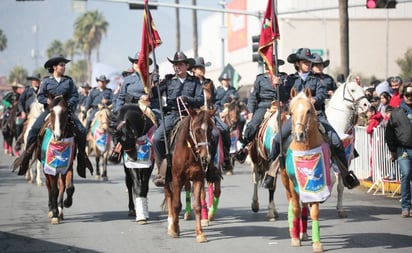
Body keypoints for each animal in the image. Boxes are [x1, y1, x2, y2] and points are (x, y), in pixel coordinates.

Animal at [163, 105, 216, 242]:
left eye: (211, 129)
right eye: (197, 130)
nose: (205, 158)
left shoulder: (198, 178)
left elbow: (197, 206)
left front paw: (200, 233)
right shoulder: (176, 178)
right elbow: (176, 204)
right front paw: (175, 229)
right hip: (167, 180)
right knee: (169, 196)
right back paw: (171, 223)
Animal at [282, 88, 336, 252]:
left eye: (308, 111)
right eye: (291, 112)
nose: (299, 135)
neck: (305, 149)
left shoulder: (318, 186)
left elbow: (314, 211)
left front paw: (317, 243)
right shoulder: (293, 182)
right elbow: (295, 208)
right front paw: (294, 239)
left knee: (304, 205)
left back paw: (303, 233)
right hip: (285, 181)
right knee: (293, 203)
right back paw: (294, 231)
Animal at [326, 79, 370, 217]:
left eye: (363, 89)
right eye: (352, 90)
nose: (367, 105)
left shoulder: (345, 159)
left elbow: (340, 186)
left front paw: (340, 209)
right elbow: (331, 179)